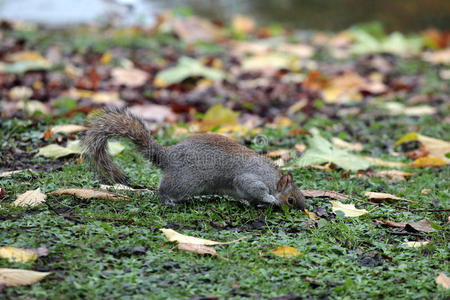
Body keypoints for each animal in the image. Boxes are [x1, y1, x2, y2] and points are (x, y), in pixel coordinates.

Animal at [81, 106, 306, 210]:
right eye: (291, 199)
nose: (303, 210)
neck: (271, 179)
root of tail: (167, 157)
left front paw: (256, 204)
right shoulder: (249, 178)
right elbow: (253, 187)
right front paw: (270, 199)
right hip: (184, 181)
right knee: (164, 190)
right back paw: (168, 200)